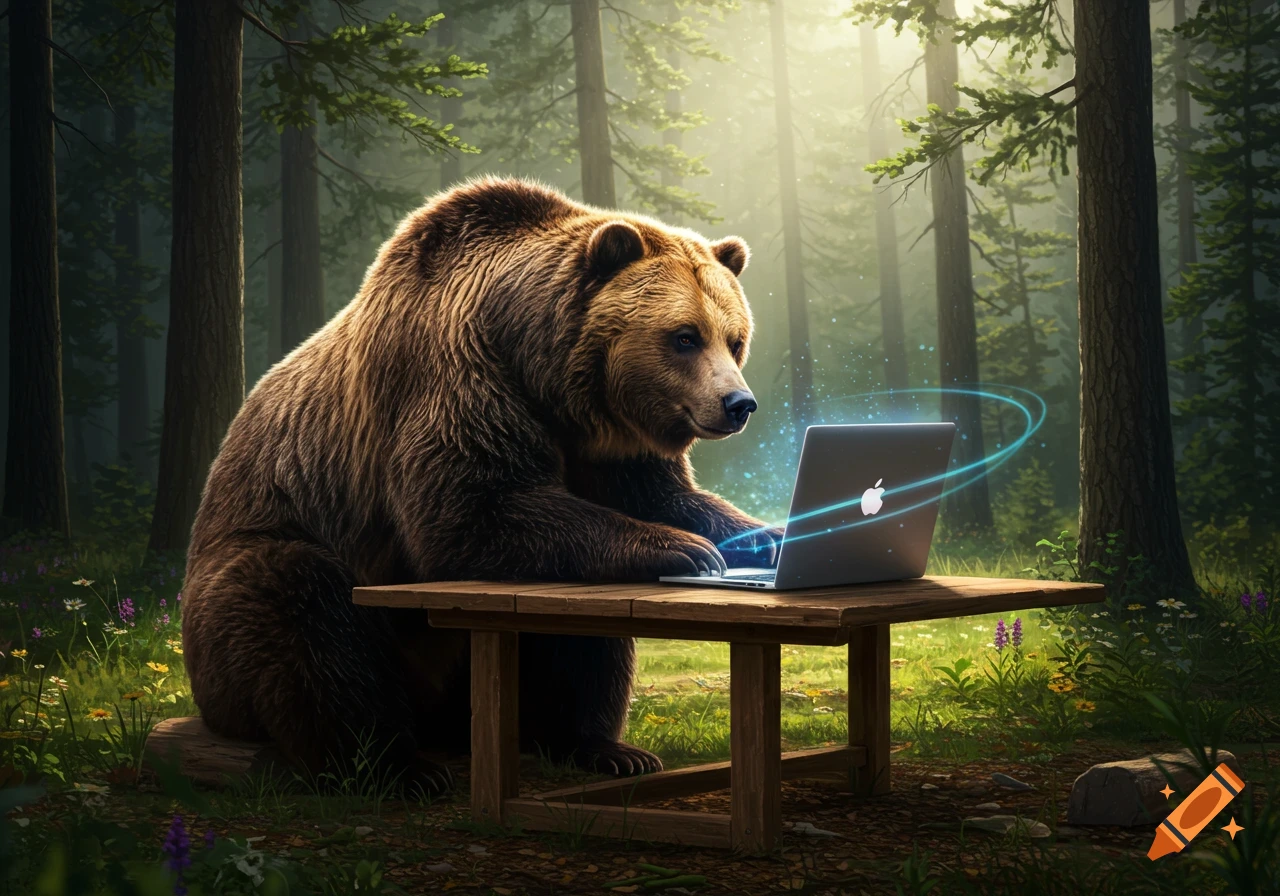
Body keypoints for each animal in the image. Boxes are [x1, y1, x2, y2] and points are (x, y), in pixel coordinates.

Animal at [181, 177, 783, 795]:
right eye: (685, 337)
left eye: (735, 339)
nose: (738, 403)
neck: (543, 375)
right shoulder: (455, 379)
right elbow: (472, 513)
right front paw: (686, 549)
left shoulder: (609, 445)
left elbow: (666, 498)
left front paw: (766, 535)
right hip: (255, 563)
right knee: (305, 613)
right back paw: (398, 767)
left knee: (583, 647)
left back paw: (604, 747)